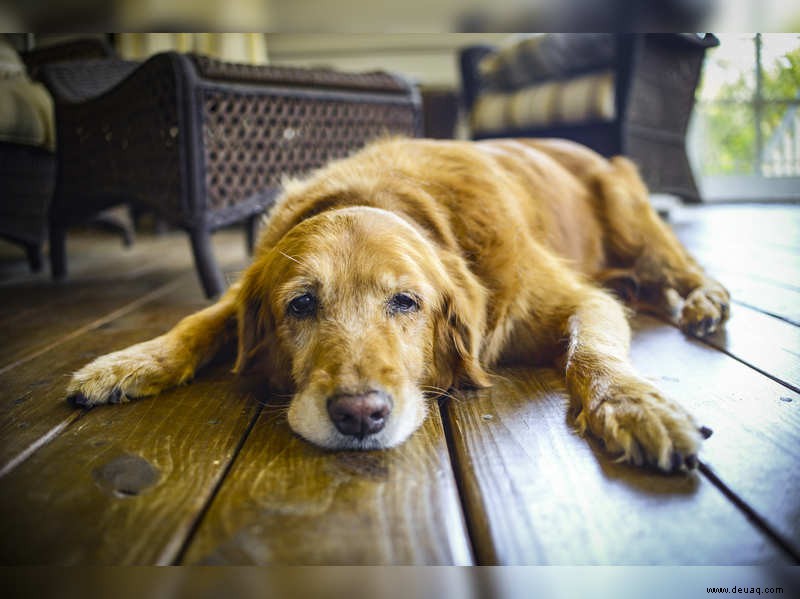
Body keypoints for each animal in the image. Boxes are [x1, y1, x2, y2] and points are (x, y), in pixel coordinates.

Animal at [67, 137, 732, 474]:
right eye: (300, 305)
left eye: (406, 301)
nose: (359, 415)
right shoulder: (242, 290)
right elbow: (198, 321)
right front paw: (127, 363)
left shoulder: (579, 298)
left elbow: (590, 352)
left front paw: (633, 405)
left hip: (632, 216)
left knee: (679, 264)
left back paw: (705, 299)